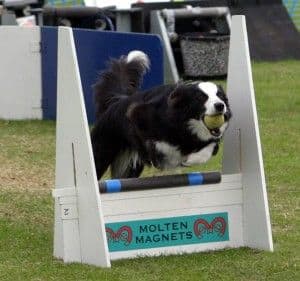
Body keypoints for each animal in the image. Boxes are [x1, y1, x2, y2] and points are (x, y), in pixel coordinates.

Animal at [90, 50, 231, 179]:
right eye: (201, 97)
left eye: (220, 96)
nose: (220, 106)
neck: (187, 124)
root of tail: (117, 100)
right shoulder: (138, 113)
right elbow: (160, 145)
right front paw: (168, 157)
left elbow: (208, 149)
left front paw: (190, 159)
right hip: (102, 151)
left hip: (130, 167)